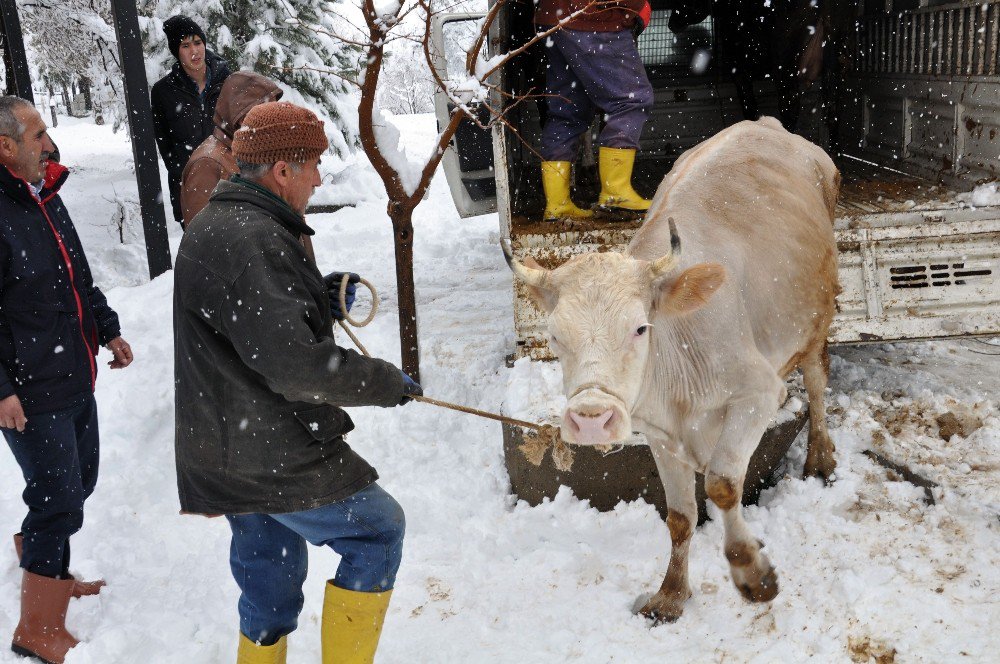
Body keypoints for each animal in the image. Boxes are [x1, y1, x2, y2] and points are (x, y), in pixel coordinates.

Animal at [504, 118, 840, 624]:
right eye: (555, 336)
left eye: (641, 327)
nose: (591, 419)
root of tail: (765, 124)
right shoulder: (659, 430)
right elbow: (679, 517)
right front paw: (670, 595)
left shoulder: (759, 393)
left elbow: (722, 485)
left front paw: (752, 573)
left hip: (816, 317)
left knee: (818, 382)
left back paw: (820, 456)